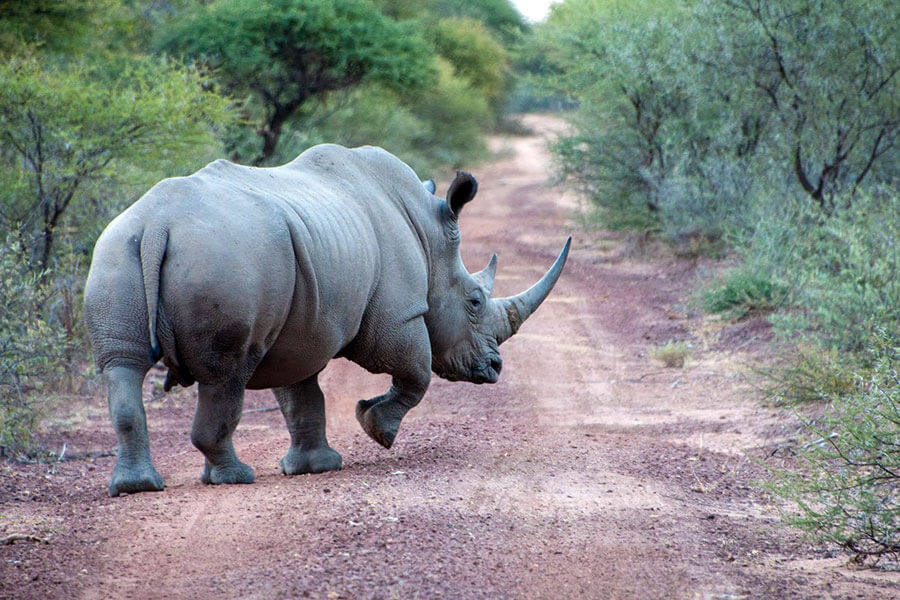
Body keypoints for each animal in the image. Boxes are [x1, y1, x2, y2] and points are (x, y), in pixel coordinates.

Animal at [82, 145, 568, 496]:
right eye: (474, 301)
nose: (495, 368)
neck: (430, 240)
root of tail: (158, 224)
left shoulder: (298, 329)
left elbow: (301, 396)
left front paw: (315, 467)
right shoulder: (397, 316)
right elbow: (417, 373)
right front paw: (377, 430)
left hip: (117, 250)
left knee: (122, 365)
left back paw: (137, 487)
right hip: (225, 260)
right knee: (226, 373)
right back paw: (235, 477)